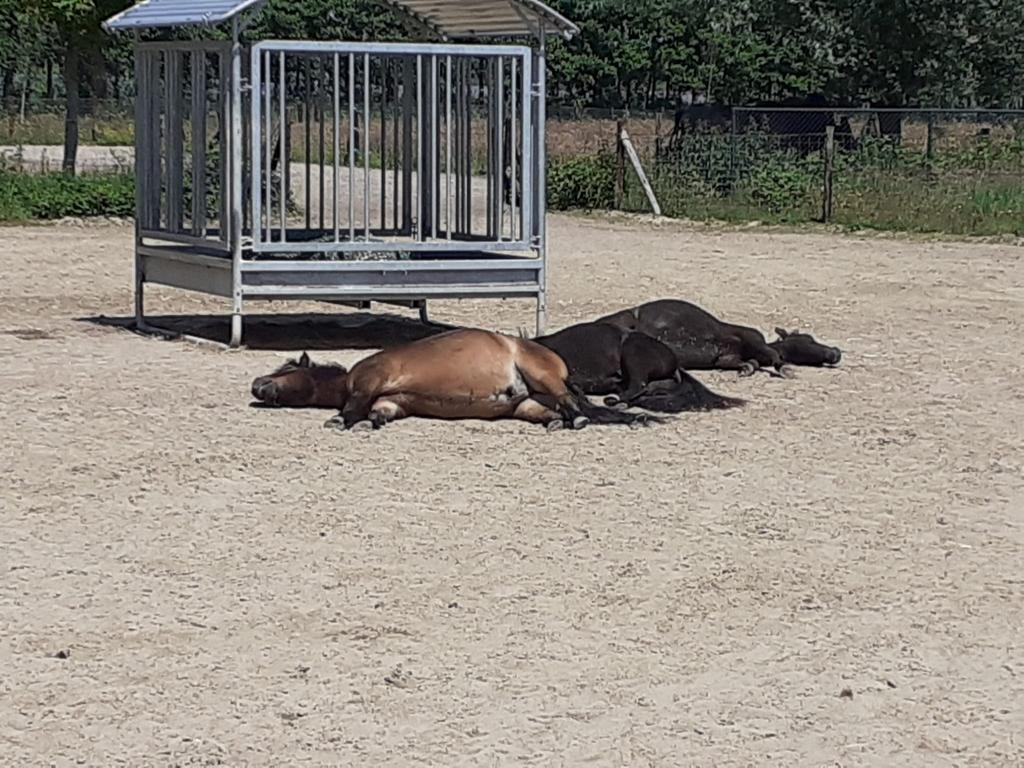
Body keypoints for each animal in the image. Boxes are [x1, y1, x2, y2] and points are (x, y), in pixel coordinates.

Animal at [250, 329, 659, 432]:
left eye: (286, 368)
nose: (256, 385)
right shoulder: (391, 400)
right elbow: (380, 411)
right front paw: (371, 422)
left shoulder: (371, 379)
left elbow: (354, 406)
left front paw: (343, 420)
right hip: (528, 404)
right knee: (559, 410)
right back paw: (559, 423)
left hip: (544, 378)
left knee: (576, 406)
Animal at [596, 299, 841, 377]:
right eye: (809, 339)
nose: (836, 351)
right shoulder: (753, 338)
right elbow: (772, 354)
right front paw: (785, 368)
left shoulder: (725, 358)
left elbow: (748, 363)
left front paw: (747, 368)